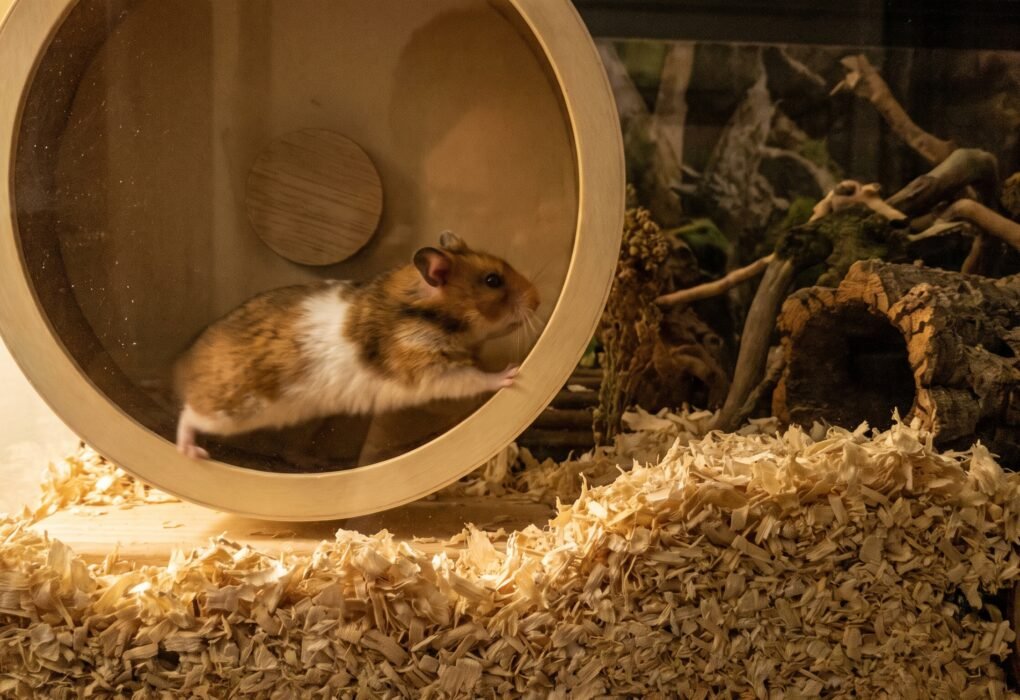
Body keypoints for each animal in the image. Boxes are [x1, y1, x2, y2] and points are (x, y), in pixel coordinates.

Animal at [174, 232, 540, 459]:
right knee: (188, 415)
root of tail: (181, 364)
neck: (429, 313)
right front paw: (511, 373)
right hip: (231, 410)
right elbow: (474, 377)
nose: (538, 300)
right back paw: (192, 453)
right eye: (492, 280)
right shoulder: (427, 368)